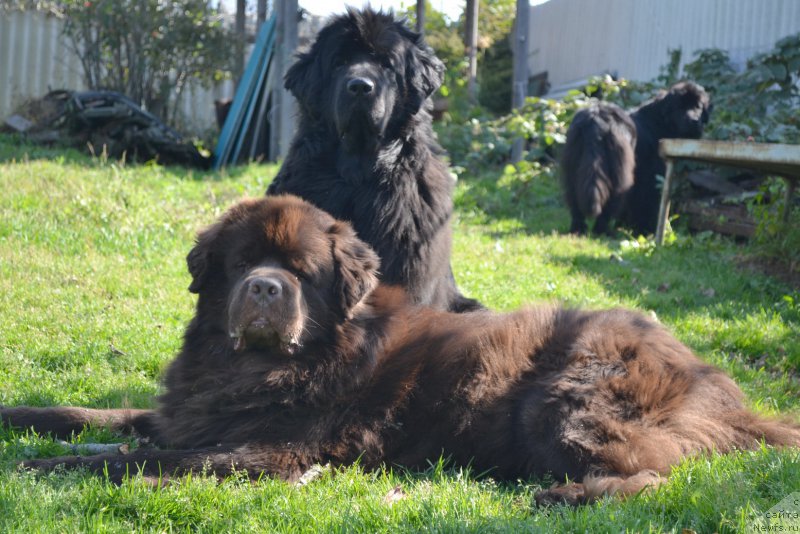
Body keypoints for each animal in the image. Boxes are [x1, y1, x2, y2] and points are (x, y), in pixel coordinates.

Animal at [3, 195, 796, 504]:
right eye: (242, 262)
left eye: (301, 272)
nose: (264, 288)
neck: (261, 365)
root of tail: (725, 389)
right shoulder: (190, 412)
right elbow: (97, 420)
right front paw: (25, 421)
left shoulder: (273, 449)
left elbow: (144, 460)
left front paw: (47, 469)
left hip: (566, 397)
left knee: (656, 473)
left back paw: (563, 495)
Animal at [560, 80, 708, 236]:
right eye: (680, 107)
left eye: (698, 107)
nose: (694, 120)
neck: (660, 121)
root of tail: (597, 119)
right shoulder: (651, 177)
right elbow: (646, 204)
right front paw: (645, 230)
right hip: (619, 173)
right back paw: (603, 232)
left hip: (574, 165)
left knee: (575, 201)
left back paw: (577, 230)